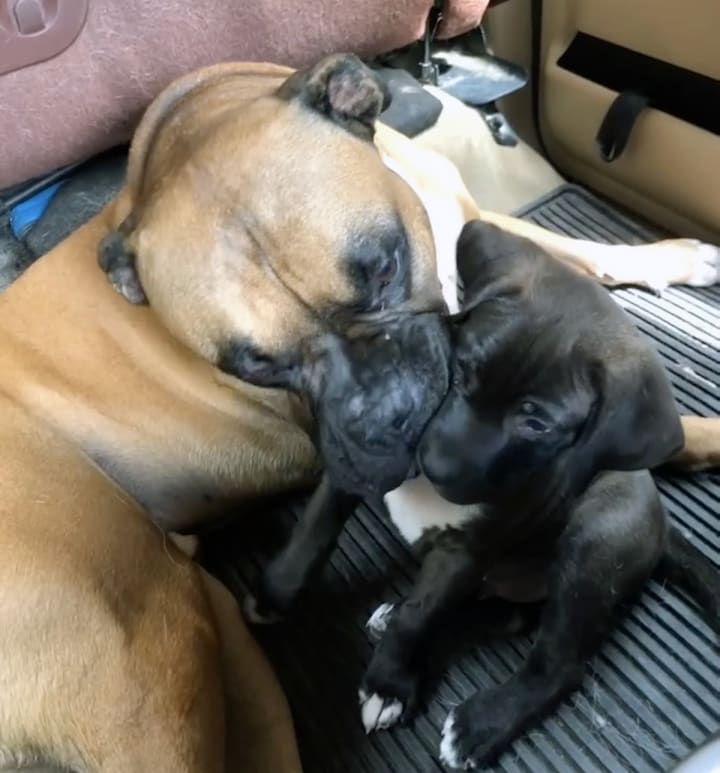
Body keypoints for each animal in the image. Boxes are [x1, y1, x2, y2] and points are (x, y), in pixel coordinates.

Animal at [2, 50, 718, 771]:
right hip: (157, 653)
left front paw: (675, 257)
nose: (391, 416)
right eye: (256, 367)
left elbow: (580, 251)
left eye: (383, 266)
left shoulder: (480, 223)